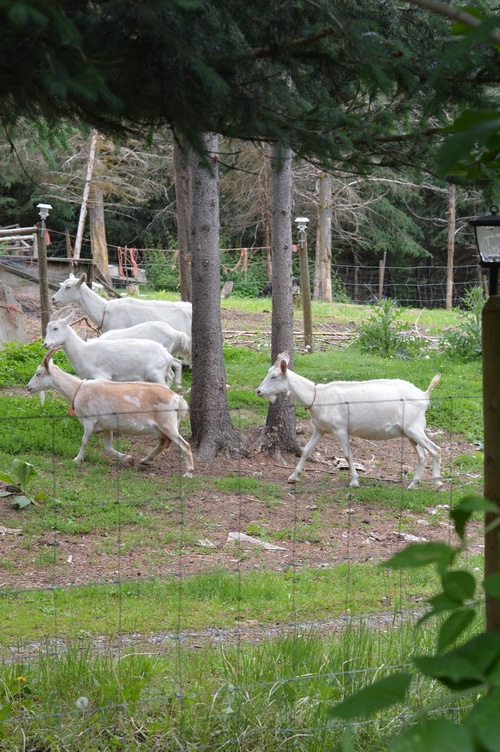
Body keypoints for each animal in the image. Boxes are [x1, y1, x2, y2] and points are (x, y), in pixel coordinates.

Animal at [27, 355, 194, 475]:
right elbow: (108, 447)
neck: (78, 390)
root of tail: (178, 398)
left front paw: (77, 459)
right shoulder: (106, 427)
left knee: (184, 445)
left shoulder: (90, 421)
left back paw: (188, 472)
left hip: (167, 424)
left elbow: (84, 441)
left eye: (38, 373)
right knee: (164, 443)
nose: (28, 387)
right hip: (161, 427)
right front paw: (128, 459)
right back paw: (144, 460)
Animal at [44, 311, 183, 390]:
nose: (45, 344)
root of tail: (167, 356)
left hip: (156, 374)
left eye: (55, 328)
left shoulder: (102, 376)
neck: (85, 351)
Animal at [256, 351, 442, 490]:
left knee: (435, 450)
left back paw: (437, 483)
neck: (318, 397)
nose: (258, 391)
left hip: (414, 428)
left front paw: (354, 481)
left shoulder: (340, 429)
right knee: (422, 455)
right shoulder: (320, 429)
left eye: (274, 376)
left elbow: (347, 454)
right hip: (409, 432)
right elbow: (306, 450)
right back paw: (413, 484)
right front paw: (293, 477)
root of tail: (424, 395)